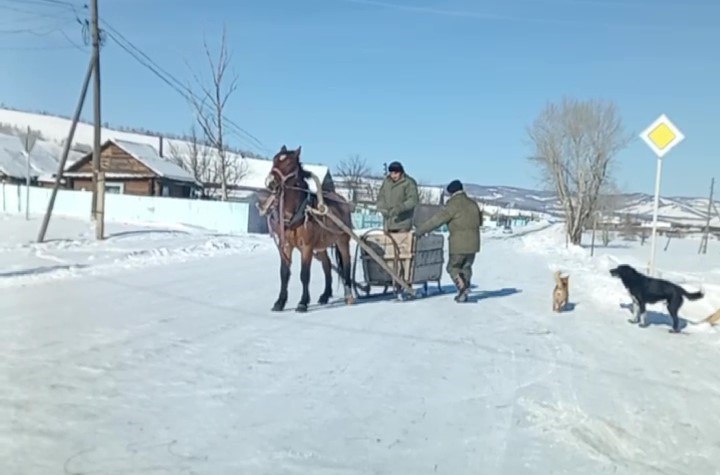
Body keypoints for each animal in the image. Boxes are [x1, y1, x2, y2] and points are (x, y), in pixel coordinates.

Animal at [262, 147, 356, 314]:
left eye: (288, 163)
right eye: (274, 160)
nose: (270, 182)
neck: (296, 213)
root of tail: (343, 200)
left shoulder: (307, 247)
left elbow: (304, 274)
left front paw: (302, 303)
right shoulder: (286, 246)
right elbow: (284, 273)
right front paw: (280, 302)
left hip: (342, 240)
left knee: (346, 263)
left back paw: (349, 295)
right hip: (321, 245)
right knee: (327, 265)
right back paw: (325, 295)